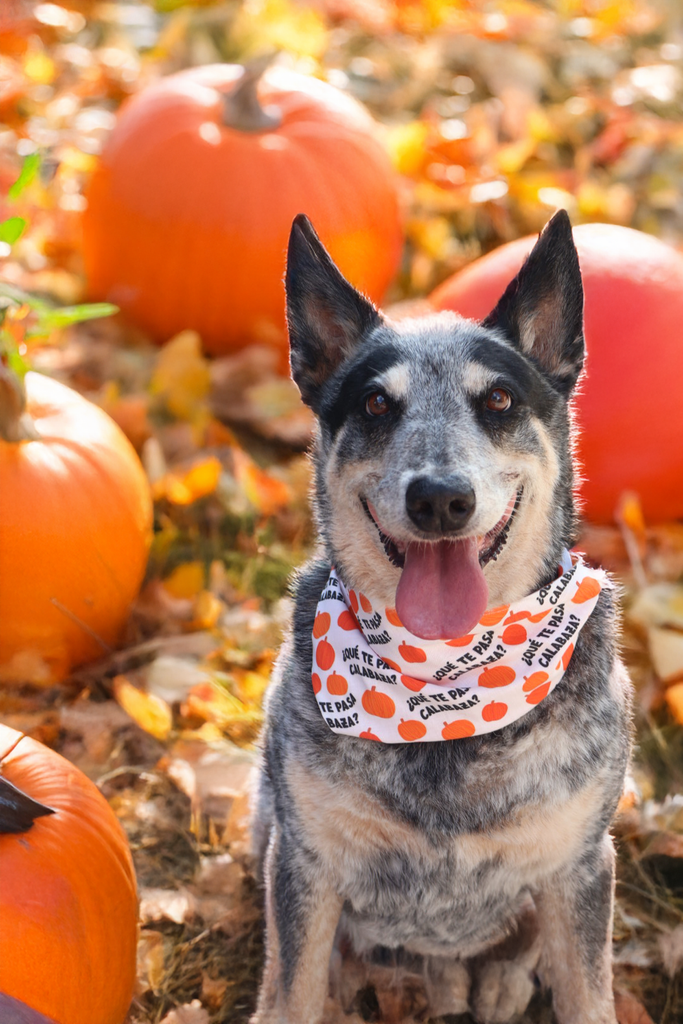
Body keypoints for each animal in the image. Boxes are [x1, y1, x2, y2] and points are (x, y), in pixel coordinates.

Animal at [250, 209, 634, 1024]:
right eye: (375, 404)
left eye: (499, 401)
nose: (440, 499)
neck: (445, 684)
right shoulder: (304, 859)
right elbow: (291, 990)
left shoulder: (580, 862)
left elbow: (585, 990)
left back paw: (498, 980)